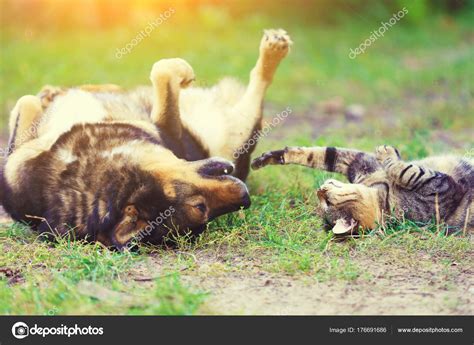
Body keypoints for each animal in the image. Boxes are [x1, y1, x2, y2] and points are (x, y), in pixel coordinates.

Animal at [0, 29, 292, 247]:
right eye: (202, 208)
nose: (245, 197)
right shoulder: (170, 132)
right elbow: (163, 71)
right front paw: (183, 72)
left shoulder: (17, 160)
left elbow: (26, 101)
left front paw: (49, 97)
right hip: (241, 130)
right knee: (259, 85)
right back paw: (274, 50)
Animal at [250, 145, 472, 234]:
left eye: (325, 202)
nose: (319, 190)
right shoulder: (442, 190)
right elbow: (409, 171)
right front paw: (388, 152)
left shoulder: (360, 163)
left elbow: (321, 154)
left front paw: (270, 157)